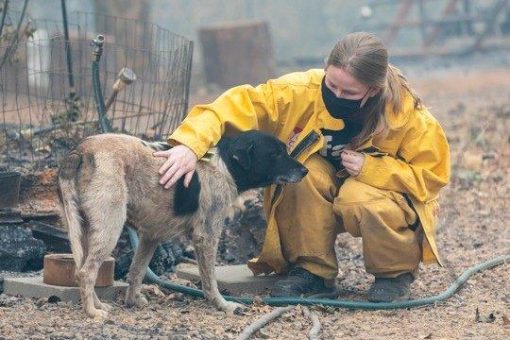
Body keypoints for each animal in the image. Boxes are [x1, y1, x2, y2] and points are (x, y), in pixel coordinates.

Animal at [57, 131, 308, 318]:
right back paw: (92, 312)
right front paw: (223, 305)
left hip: (84, 230)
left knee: (82, 270)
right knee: (86, 272)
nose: (305, 170)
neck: (225, 165)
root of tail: (81, 150)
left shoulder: (150, 236)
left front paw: (132, 300)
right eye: (276, 154)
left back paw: (98, 305)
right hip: (110, 227)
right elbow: (209, 280)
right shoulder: (206, 236)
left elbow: (137, 270)